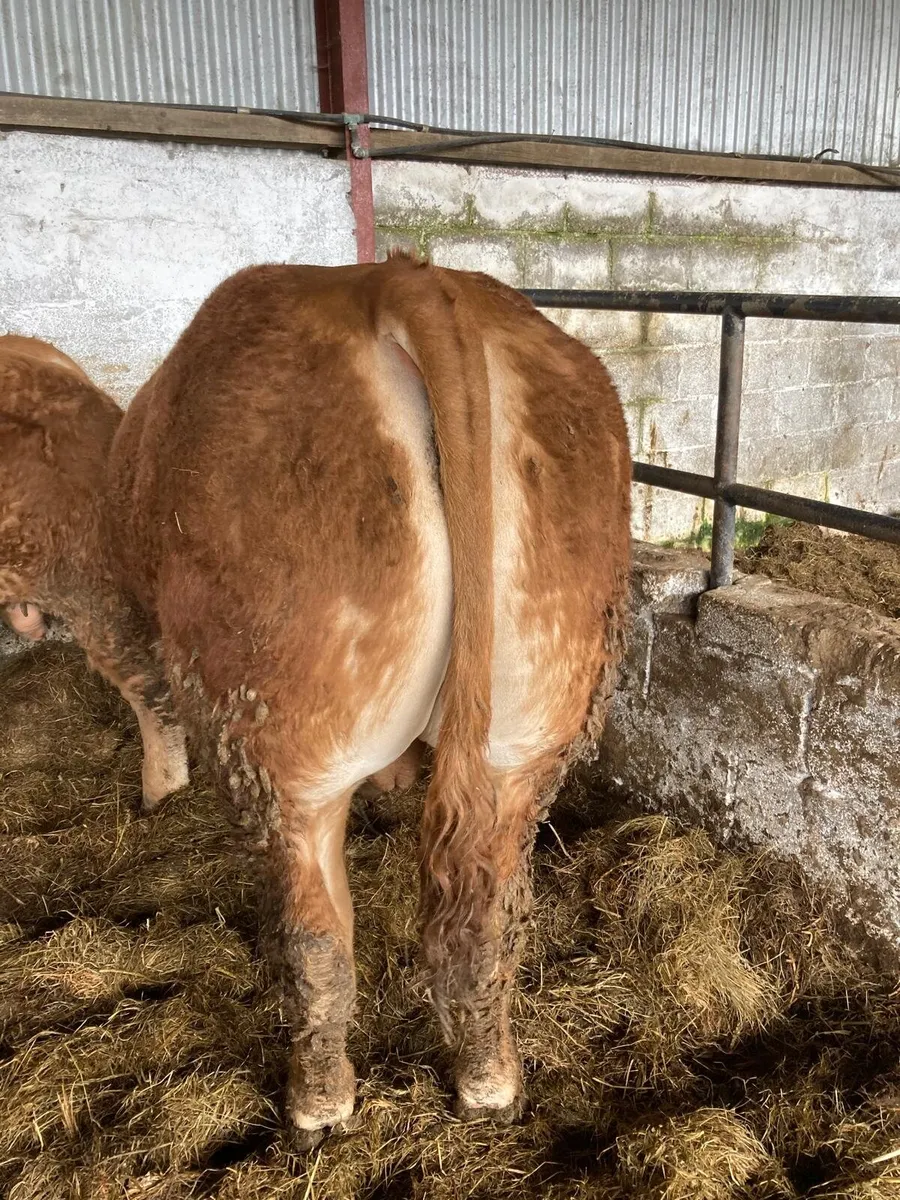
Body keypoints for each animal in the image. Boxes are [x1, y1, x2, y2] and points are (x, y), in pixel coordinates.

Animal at [0, 255, 631, 1141]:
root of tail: (398, 278)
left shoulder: (101, 589)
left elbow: (145, 692)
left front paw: (159, 795)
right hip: (532, 730)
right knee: (487, 914)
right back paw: (488, 1082)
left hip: (282, 748)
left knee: (319, 938)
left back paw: (318, 1103)